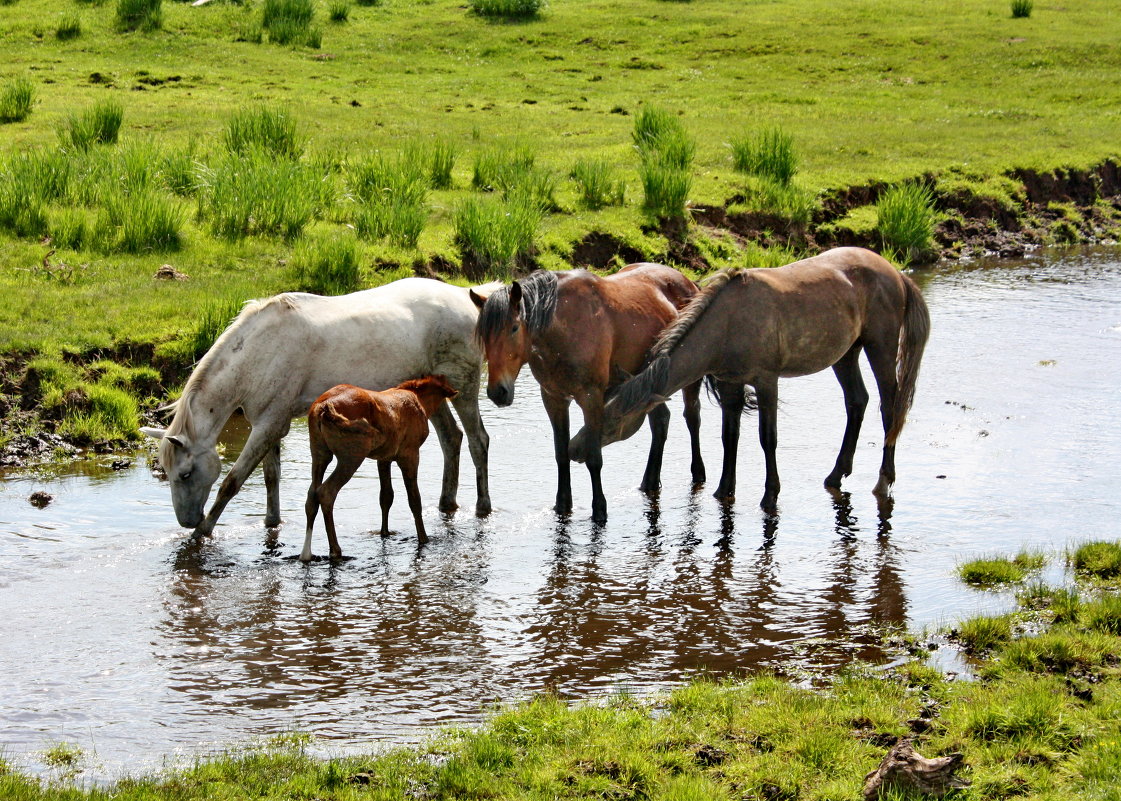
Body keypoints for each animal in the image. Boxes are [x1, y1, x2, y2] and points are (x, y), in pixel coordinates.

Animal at [140, 277, 495, 539]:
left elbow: (232, 482)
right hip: (431, 395)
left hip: (463, 388)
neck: (260, 352)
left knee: (478, 441)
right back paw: (447, 504)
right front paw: (271, 523)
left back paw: (482, 507)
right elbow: (271, 477)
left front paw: (202, 532)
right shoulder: (268, 423)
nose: (186, 520)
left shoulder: (269, 425)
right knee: (451, 438)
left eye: (185, 474)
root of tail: (467, 299)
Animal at [470, 264, 699, 526]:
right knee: (660, 422)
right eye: (483, 335)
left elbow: (594, 458)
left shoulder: (591, 398)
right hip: (650, 384)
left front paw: (599, 509)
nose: (497, 392)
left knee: (692, 417)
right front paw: (562, 505)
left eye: (514, 328)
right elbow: (561, 454)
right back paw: (649, 482)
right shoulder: (554, 399)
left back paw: (698, 474)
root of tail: (688, 282)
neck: (566, 328)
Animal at [591, 247, 932, 513]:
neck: (729, 323)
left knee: (890, 408)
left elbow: (767, 438)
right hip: (846, 353)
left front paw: (770, 495)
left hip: (880, 346)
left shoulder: (767, 381)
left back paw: (883, 481)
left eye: (615, 420)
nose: (581, 450)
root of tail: (895, 272)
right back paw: (836, 474)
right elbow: (729, 436)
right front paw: (723, 490)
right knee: (857, 401)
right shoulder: (730, 384)